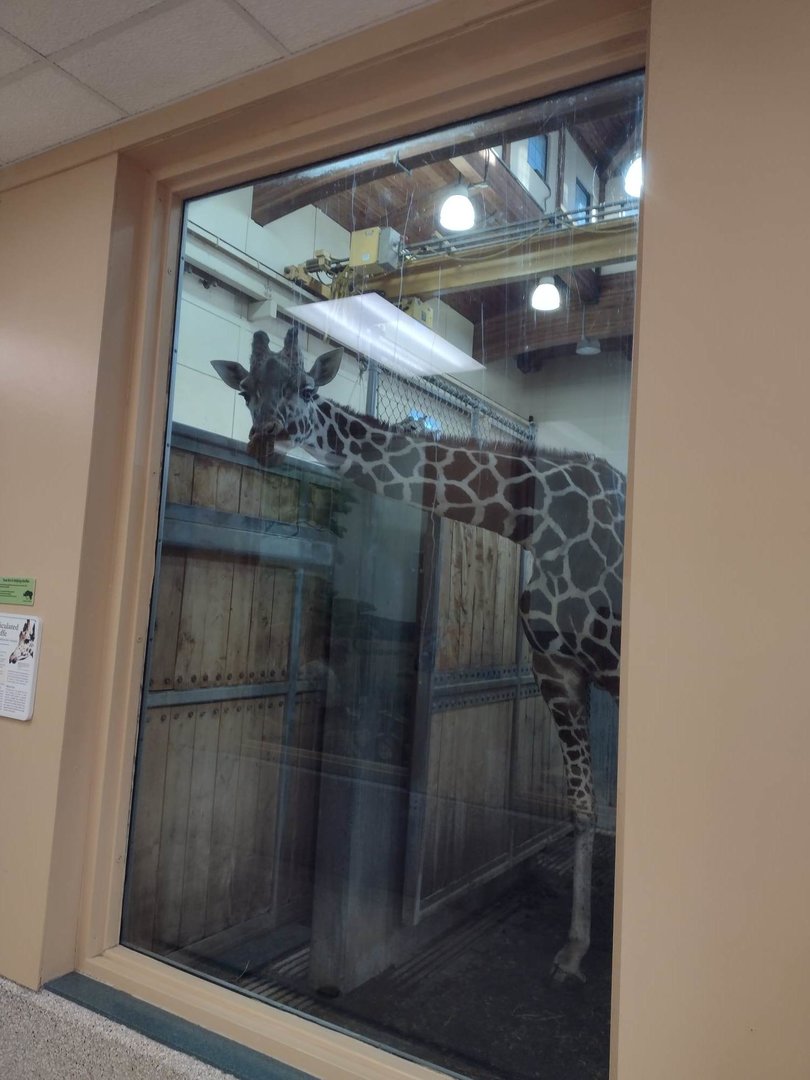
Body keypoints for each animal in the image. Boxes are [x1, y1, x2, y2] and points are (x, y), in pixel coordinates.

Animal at [213, 326, 624, 983]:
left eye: (307, 388)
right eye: (247, 390)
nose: (264, 443)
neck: (534, 519)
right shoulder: (557, 669)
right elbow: (582, 810)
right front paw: (573, 952)